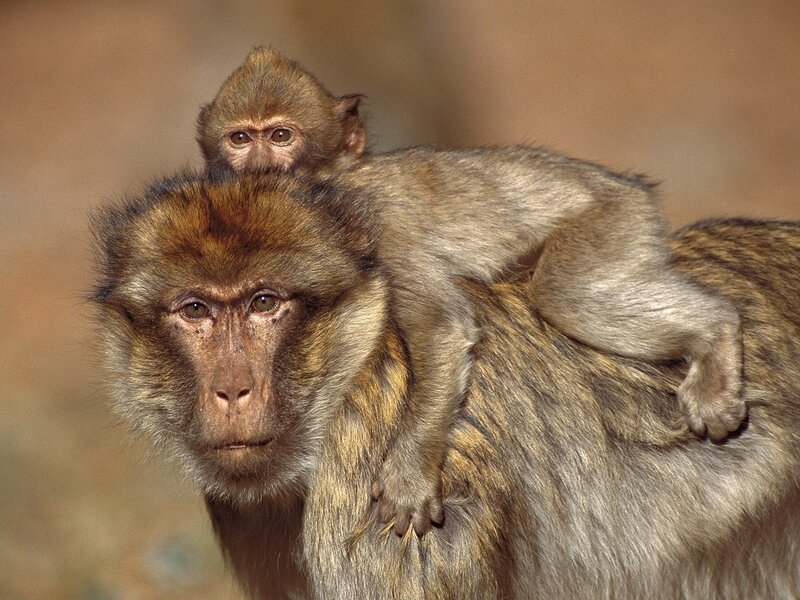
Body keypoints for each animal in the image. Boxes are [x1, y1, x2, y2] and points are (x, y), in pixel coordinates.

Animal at [194, 49, 746, 538]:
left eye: (280, 136)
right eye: (240, 138)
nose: (258, 167)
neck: (332, 185)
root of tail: (628, 185)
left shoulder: (380, 225)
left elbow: (442, 327)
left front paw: (409, 475)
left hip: (613, 222)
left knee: (565, 292)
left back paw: (717, 331)